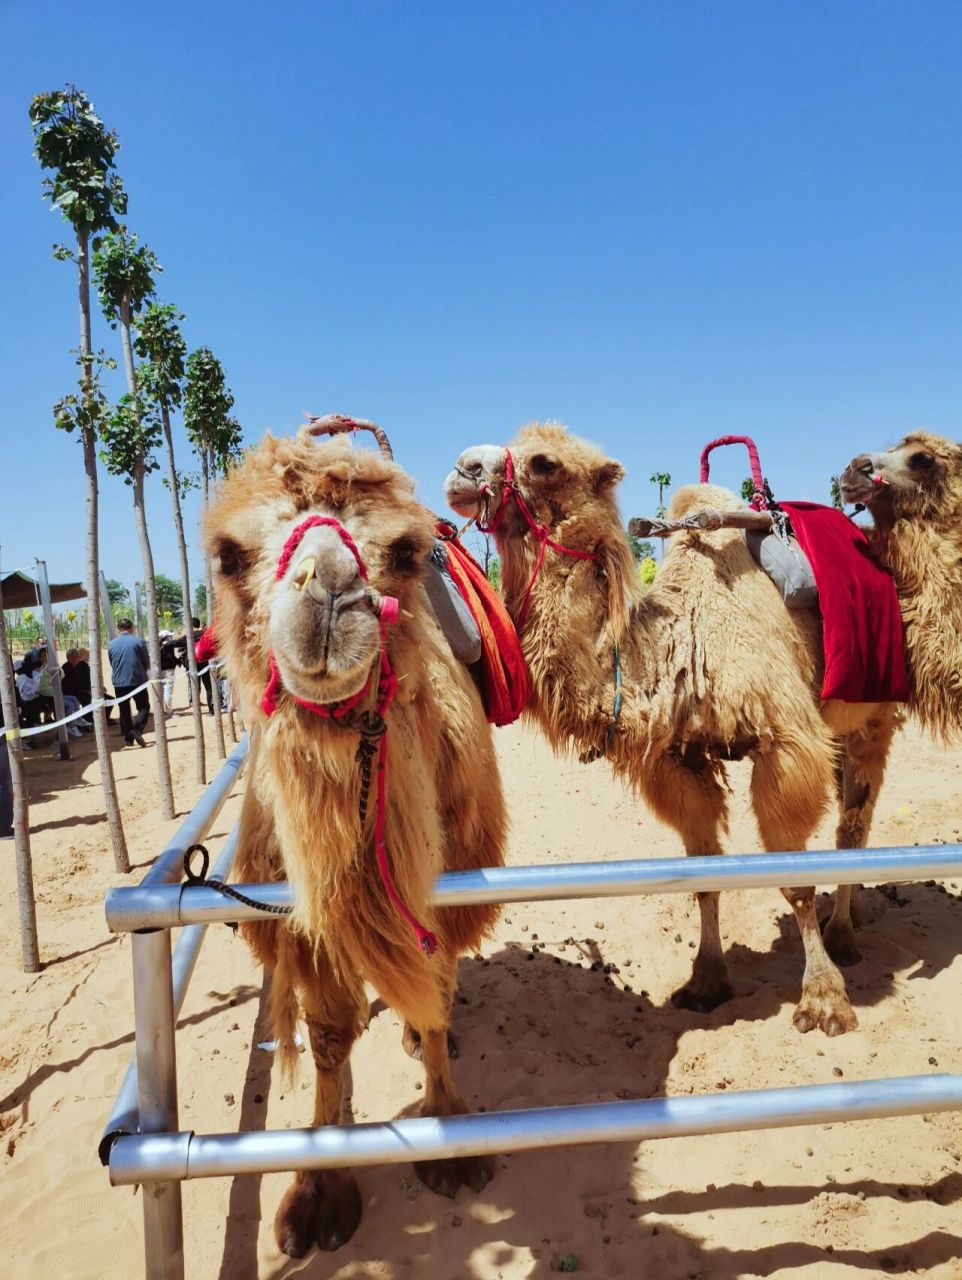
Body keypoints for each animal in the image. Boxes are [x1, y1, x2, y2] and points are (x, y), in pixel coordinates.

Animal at [207, 430, 506, 1259]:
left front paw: (451, 1134)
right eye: (227, 556)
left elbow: (436, 992)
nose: (332, 589)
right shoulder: (300, 923)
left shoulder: (447, 889)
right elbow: (331, 1037)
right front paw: (320, 1192)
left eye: (404, 552)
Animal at [442, 419, 900, 1039]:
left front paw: (824, 1001)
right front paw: (705, 983)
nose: (463, 469)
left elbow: (795, 881)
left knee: (855, 823)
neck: (680, 644)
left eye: (544, 463)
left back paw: (845, 938)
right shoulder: (680, 759)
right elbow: (701, 877)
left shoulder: (784, 742)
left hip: (873, 712)